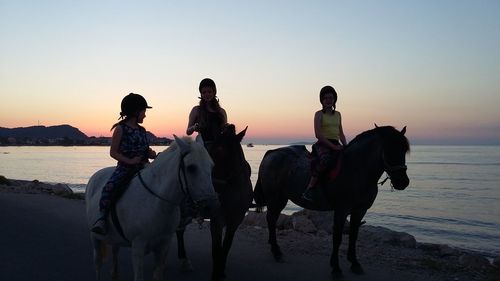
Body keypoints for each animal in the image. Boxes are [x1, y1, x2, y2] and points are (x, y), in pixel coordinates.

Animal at [86, 136, 219, 280]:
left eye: (212, 166)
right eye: (191, 168)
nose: (212, 206)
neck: (157, 203)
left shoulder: (163, 246)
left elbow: (158, 274)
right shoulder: (138, 248)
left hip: (115, 238)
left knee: (115, 258)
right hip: (95, 238)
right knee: (98, 263)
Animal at [176, 123, 254, 278]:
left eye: (220, 149)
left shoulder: (235, 221)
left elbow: (226, 248)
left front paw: (221, 271)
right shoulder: (216, 220)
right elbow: (216, 250)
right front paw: (216, 274)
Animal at [254, 126, 410, 276]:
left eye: (404, 150)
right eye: (389, 149)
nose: (403, 182)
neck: (357, 169)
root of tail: (272, 153)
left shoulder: (360, 211)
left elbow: (353, 236)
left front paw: (354, 263)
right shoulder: (341, 210)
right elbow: (337, 237)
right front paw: (336, 268)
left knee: (272, 220)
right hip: (276, 198)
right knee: (271, 220)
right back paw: (276, 252)